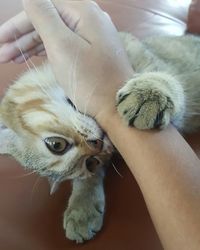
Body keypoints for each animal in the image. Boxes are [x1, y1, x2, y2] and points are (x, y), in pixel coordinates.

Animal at [0, 32, 200, 243]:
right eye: (91, 163)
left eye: (56, 145)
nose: (97, 145)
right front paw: (82, 208)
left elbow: (164, 76)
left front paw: (149, 92)